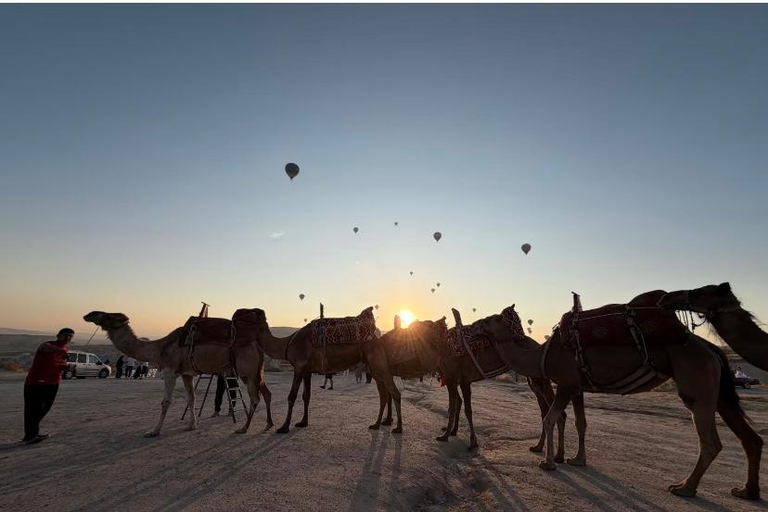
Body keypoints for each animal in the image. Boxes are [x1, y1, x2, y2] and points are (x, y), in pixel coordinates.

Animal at [83, 311, 273, 437]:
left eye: (109, 316)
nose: (89, 315)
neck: (160, 348)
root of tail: (257, 345)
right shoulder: (187, 374)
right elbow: (191, 398)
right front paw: (191, 425)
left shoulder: (170, 369)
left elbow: (166, 401)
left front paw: (154, 431)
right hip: (256, 370)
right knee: (266, 393)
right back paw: (268, 424)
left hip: (247, 370)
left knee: (255, 398)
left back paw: (244, 428)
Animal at [251, 307, 405, 433]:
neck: (287, 343)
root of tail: (378, 336)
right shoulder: (307, 370)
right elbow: (306, 396)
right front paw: (302, 422)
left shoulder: (299, 367)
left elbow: (292, 396)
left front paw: (283, 427)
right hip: (375, 365)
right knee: (386, 394)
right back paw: (381, 423)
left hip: (378, 360)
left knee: (392, 392)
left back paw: (397, 428)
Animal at [469, 294, 763, 500]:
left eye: (492, 319)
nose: (475, 325)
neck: (542, 355)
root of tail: (712, 348)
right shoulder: (577, 386)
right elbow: (580, 422)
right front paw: (577, 459)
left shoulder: (566, 382)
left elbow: (551, 418)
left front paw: (549, 462)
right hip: (717, 391)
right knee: (748, 437)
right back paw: (747, 491)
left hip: (697, 382)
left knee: (710, 440)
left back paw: (685, 487)